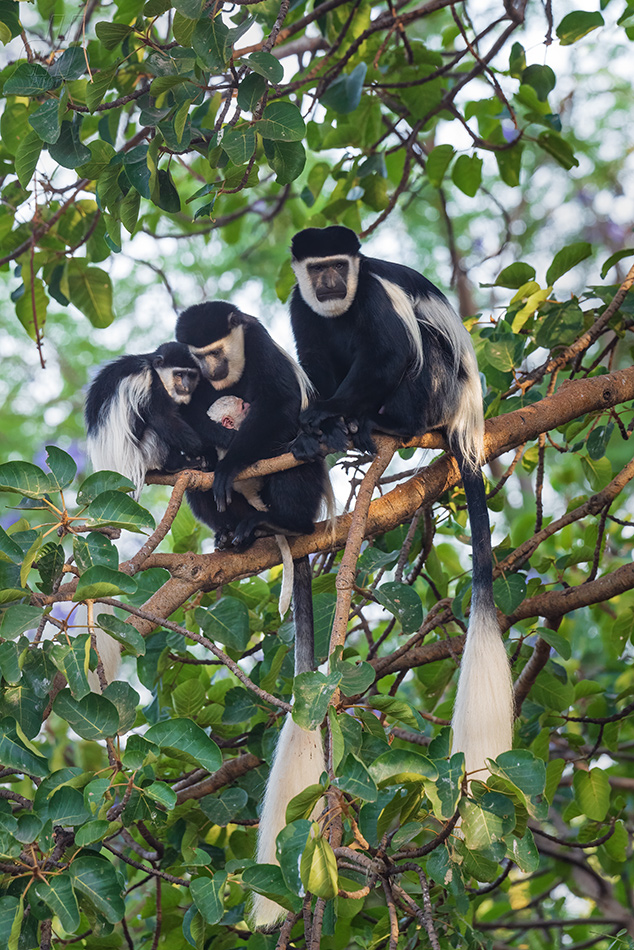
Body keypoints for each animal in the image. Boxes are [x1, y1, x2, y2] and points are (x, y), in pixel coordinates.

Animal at [84, 340, 202, 502]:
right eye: (179, 374)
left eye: (191, 375)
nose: (186, 386)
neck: (152, 364)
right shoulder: (150, 382)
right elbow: (162, 418)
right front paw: (203, 449)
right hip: (143, 454)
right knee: (156, 431)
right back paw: (176, 464)